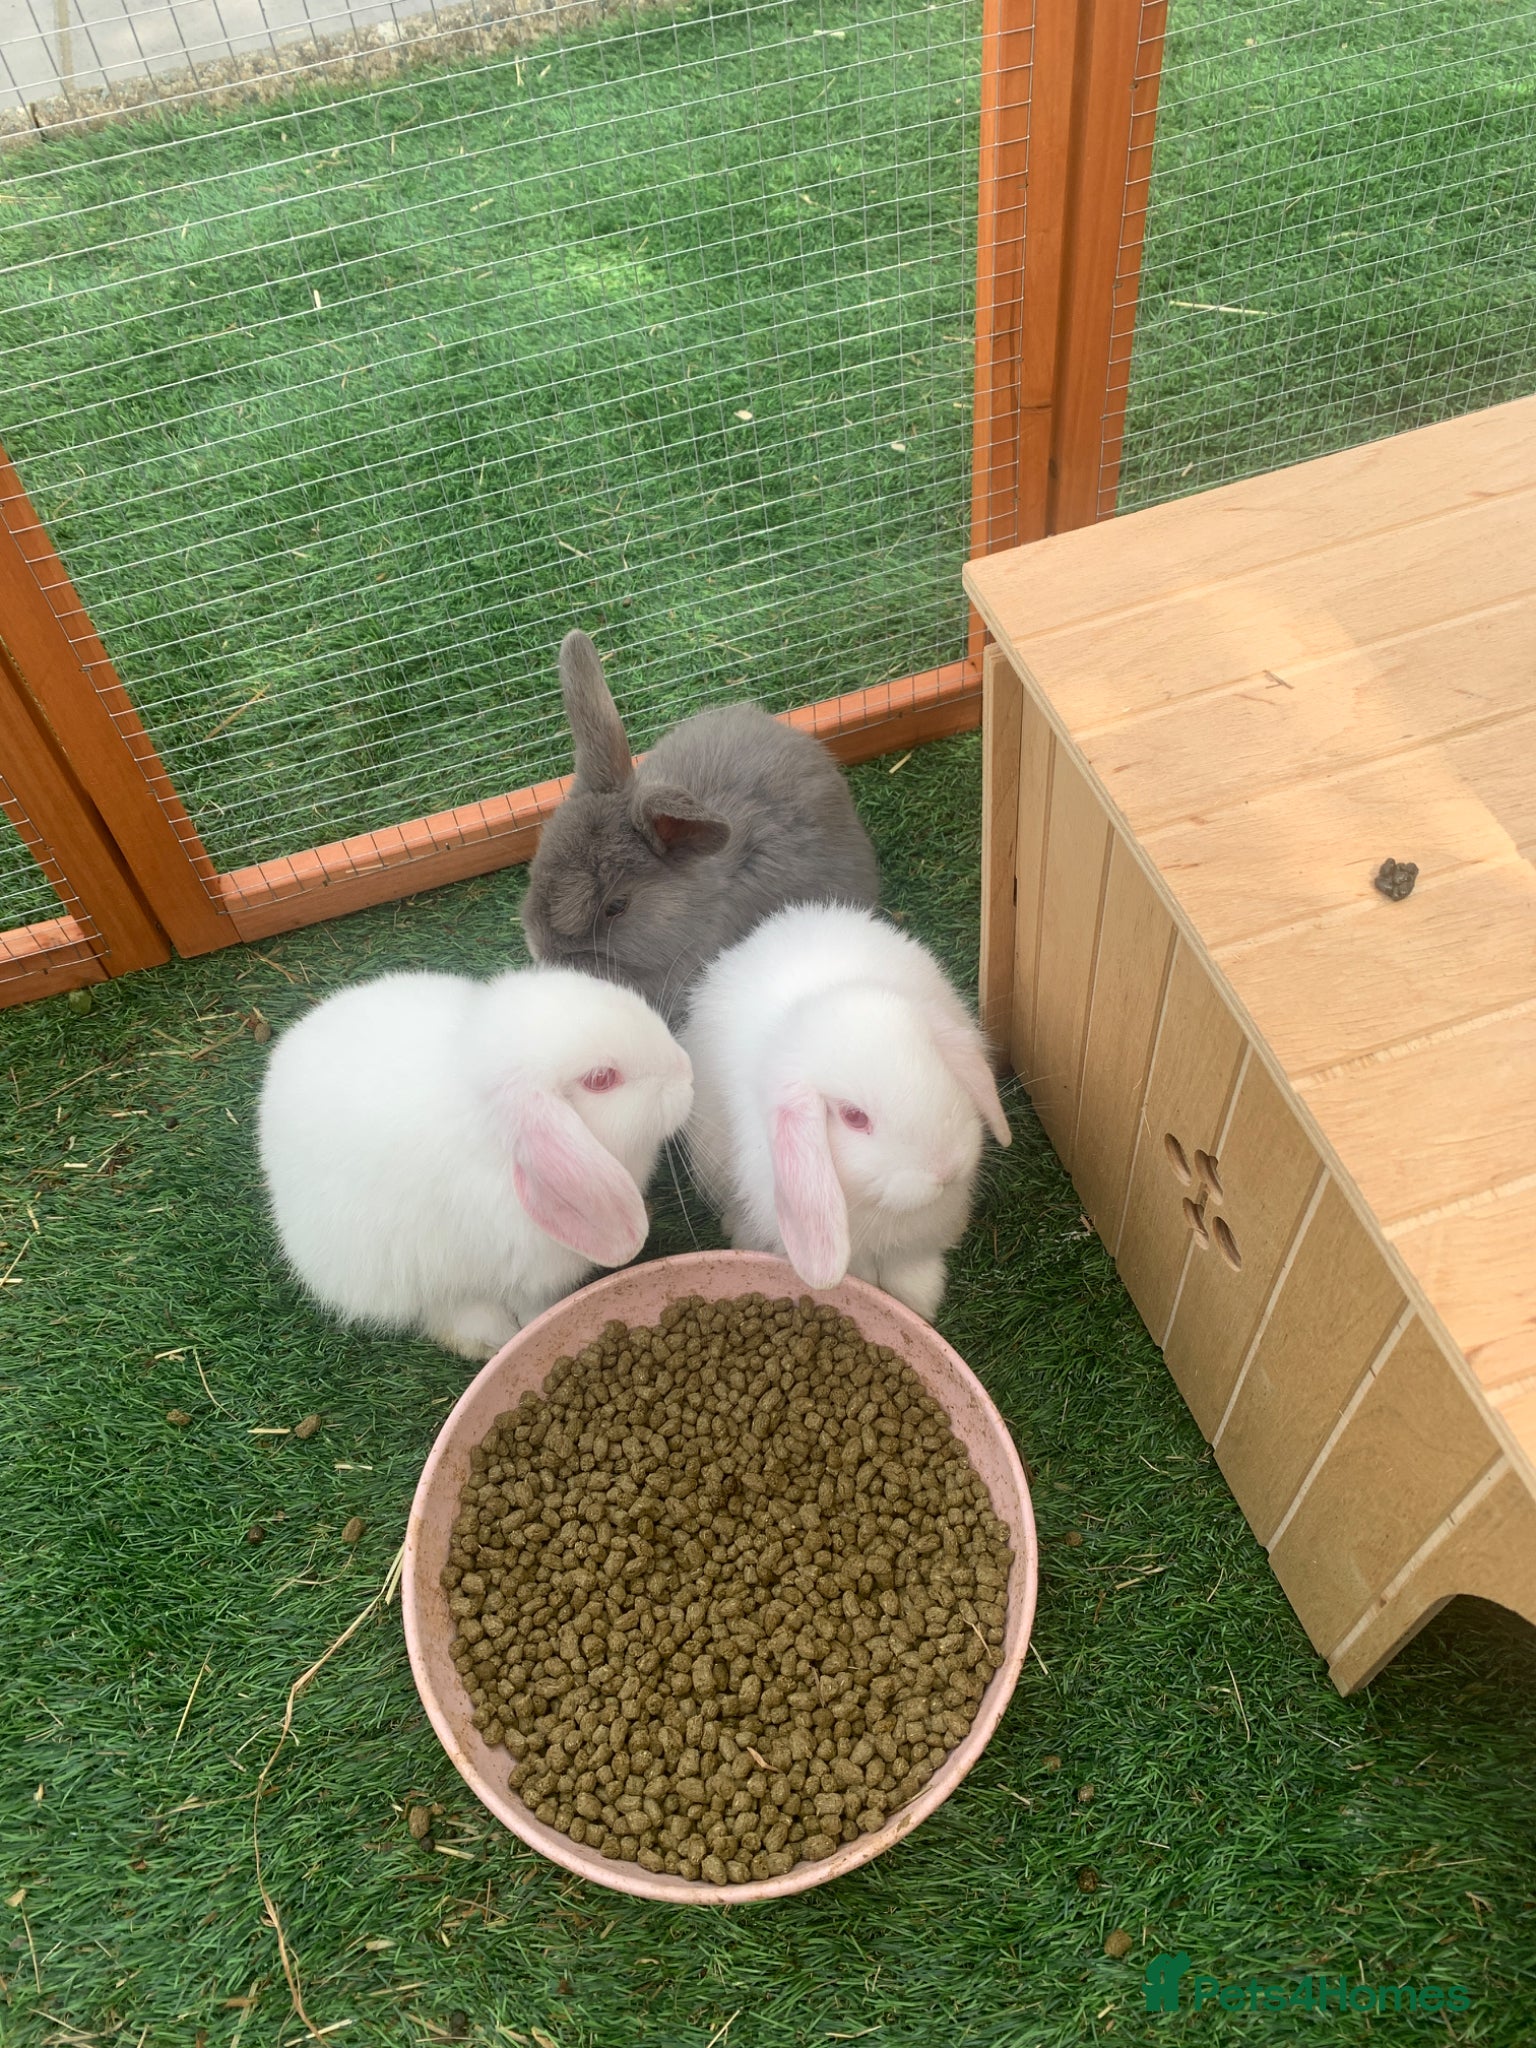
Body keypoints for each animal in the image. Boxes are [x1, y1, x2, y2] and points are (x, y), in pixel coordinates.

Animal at [680, 904, 1010, 1321]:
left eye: (937, 1064)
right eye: (854, 1117)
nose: (946, 1169)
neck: (880, 1208)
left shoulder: (917, 1239)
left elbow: (911, 1268)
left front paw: (920, 1303)